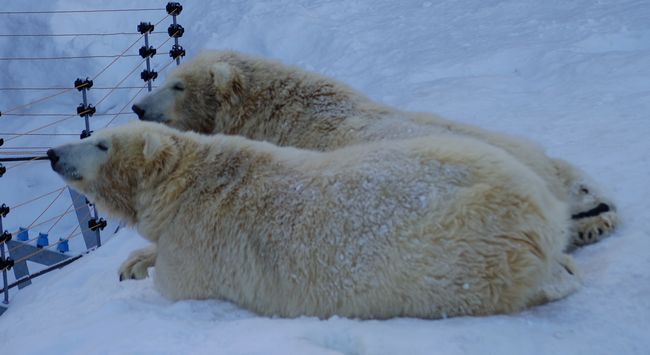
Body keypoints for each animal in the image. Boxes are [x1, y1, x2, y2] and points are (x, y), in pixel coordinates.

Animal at [49, 121, 576, 320]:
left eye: (101, 143)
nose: (53, 153)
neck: (187, 182)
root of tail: (542, 212)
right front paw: (131, 263)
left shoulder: (199, 245)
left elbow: (175, 285)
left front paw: (142, 271)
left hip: (459, 256)